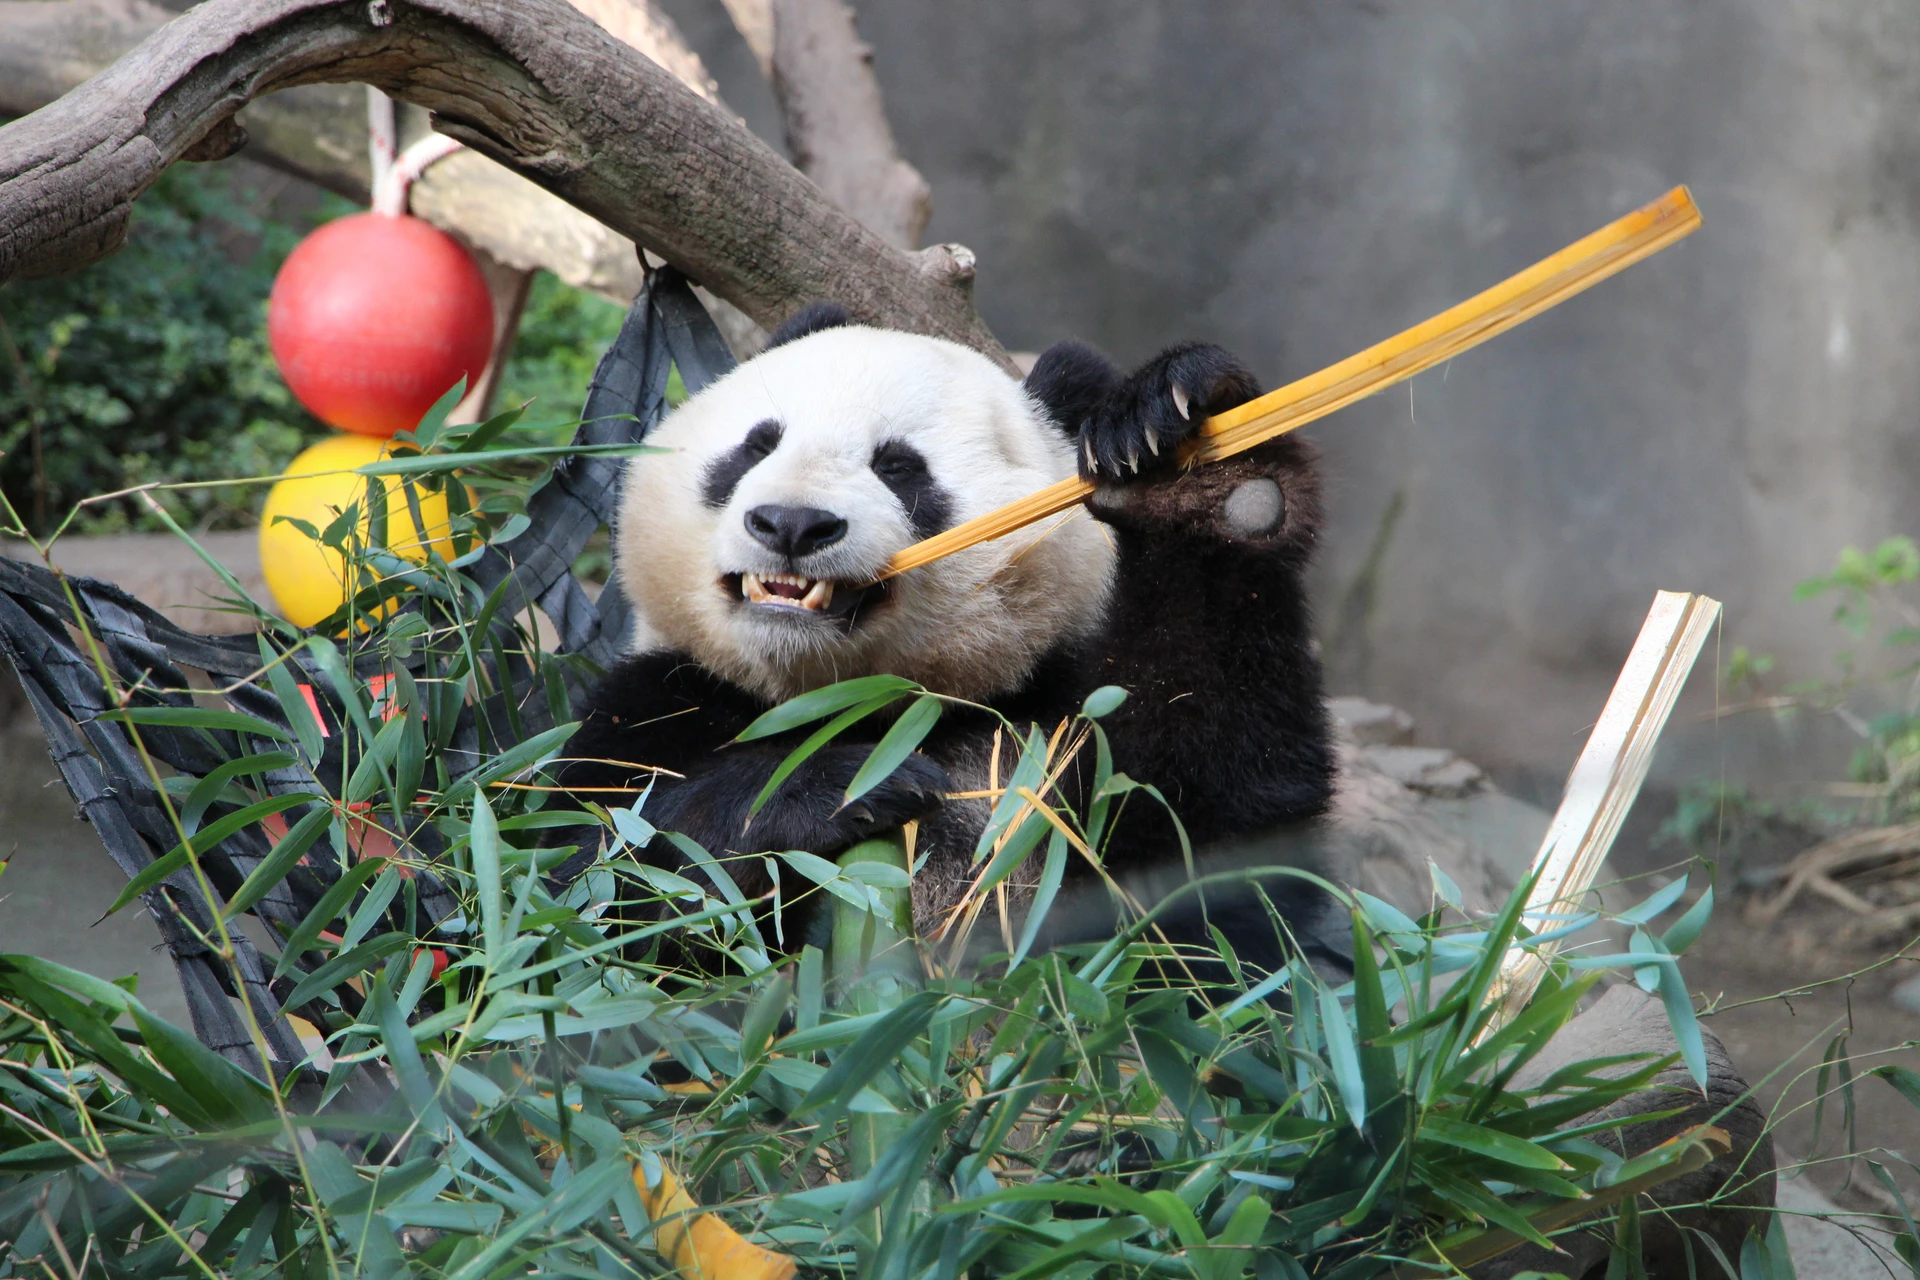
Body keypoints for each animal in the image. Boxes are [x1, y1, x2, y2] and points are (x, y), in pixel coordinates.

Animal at [556, 303, 1352, 982]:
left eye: (899, 467)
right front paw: (838, 784)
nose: (792, 523)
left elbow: (1207, 879)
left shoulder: (1048, 721)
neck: (856, 698)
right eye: (756, 445)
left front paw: (1199, 464)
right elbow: (592, 897)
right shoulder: (657, 708)